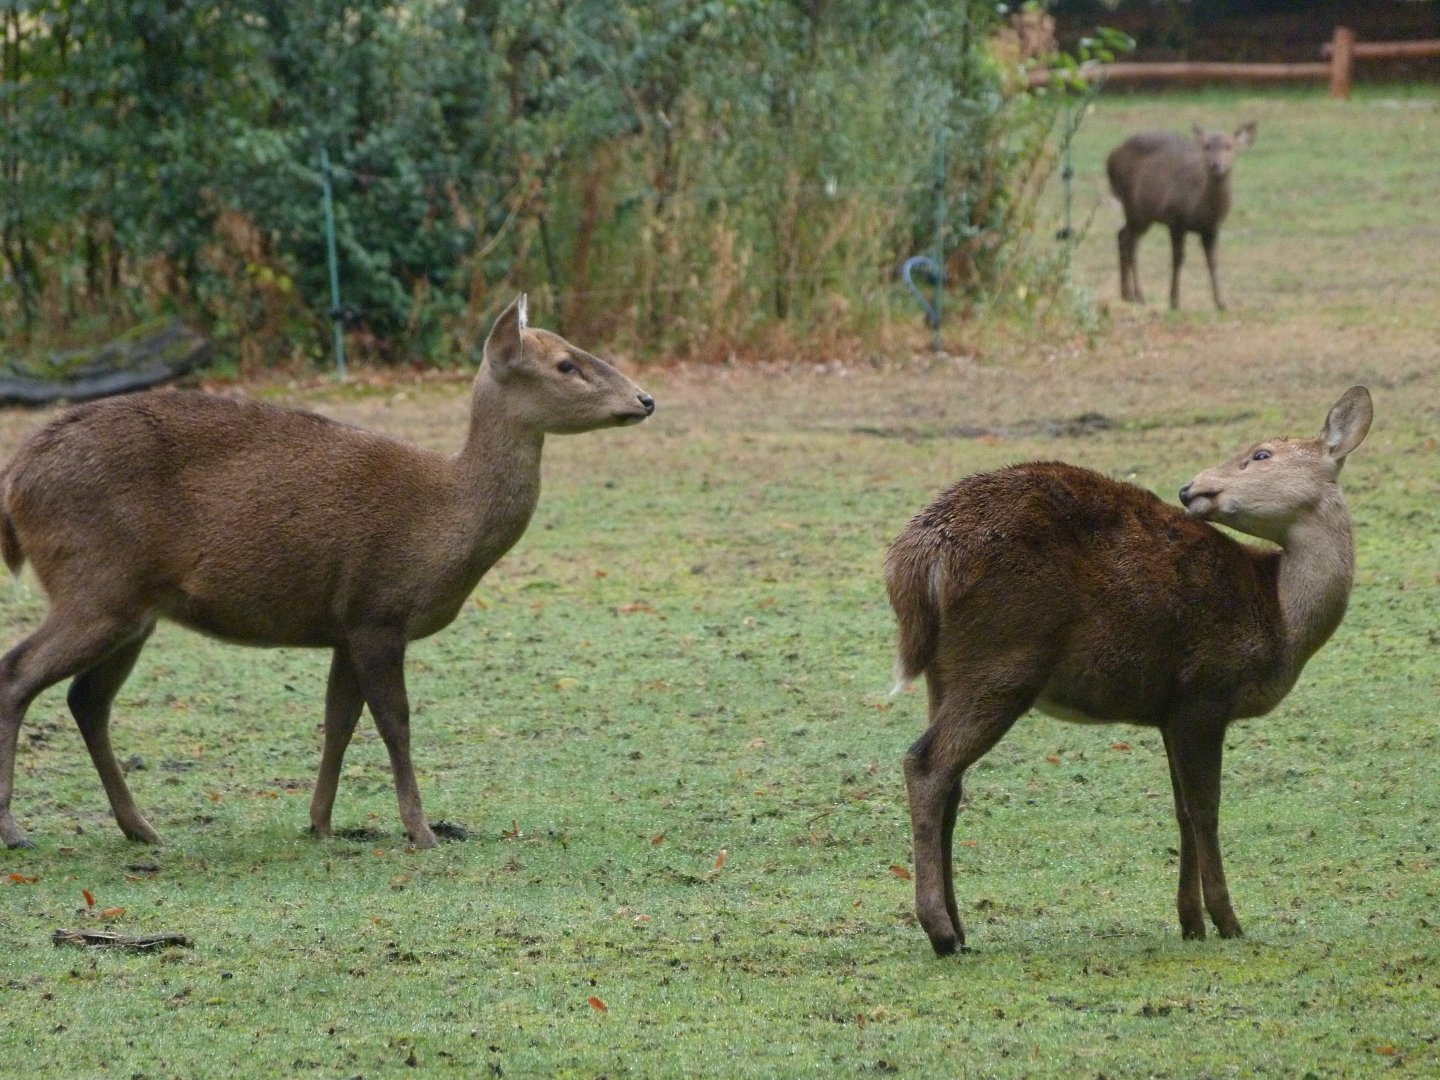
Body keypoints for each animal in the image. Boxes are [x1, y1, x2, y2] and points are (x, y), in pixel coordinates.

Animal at [0, 295, 654, 851]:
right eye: (566, 364)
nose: (645, 399)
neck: (447, 521)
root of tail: (17, 477)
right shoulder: (379, 612)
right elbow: (395, 722)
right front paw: (421, 830)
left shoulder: (345, 624)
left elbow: (338, 721)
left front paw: (320, 821)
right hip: (95, 583)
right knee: (18, 672)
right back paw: (16, 830)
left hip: (135, 608)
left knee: (87, 700)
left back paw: (141, 827)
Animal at [885, 386, 1372, 955]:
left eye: (1261, 454)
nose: (1190, 489)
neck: (1280, 617)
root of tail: (915, 562)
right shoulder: (1206, 693)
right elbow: (1206, 810)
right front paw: (1227, 921)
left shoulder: (1170, 711)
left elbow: (1182, 811)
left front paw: (1190, 922)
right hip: (1004, 659)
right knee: (927, 764)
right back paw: (941, 932)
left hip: (946, 671)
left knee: (952, 780)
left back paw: (961, 930)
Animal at [1107, 121, 1257, 311]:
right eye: (1207, 146)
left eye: (1229, 146)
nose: (1216, 165)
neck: (1202, 207)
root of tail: (1110, 157)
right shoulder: (1176, 219)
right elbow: (1178, 259)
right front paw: (1174, 301)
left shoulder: (1212, 228)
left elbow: (1213, 261)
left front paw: (1221, 302)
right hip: (1132, 206)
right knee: (1130, 243)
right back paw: (1138, 295)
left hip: (1143, 214)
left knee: (1123, 235)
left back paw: (1127, 294)